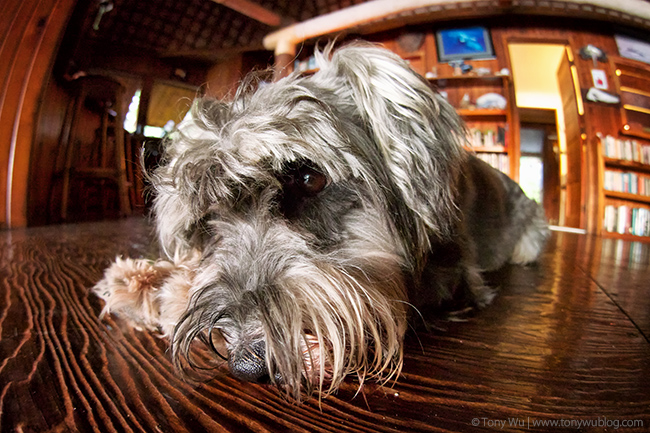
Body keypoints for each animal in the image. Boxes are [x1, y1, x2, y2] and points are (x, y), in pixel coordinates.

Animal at [92, 43, 548, 398]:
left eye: (310, 178)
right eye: (208, 219)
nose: (247, 364)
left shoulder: (451, 277)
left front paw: (165, 292)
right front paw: (142, 280)